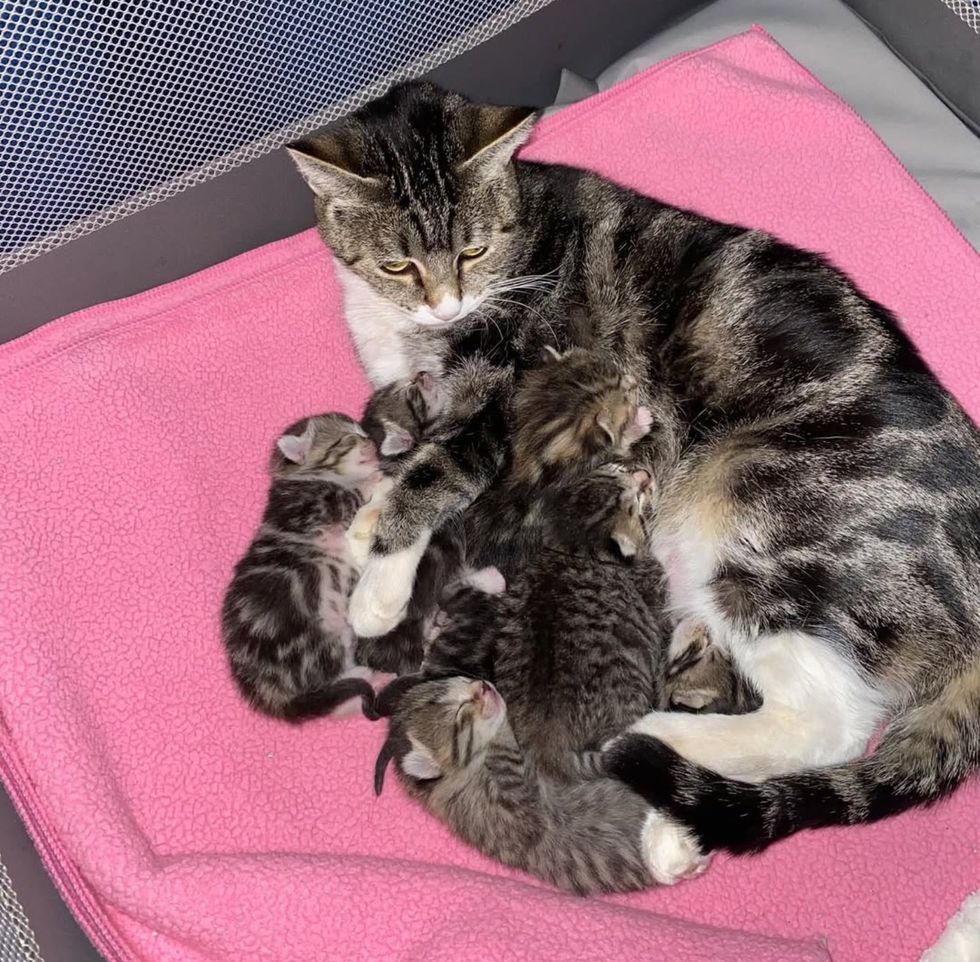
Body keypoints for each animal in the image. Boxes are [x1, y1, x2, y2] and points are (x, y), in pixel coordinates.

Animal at [223, 410, 382, 720]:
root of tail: (268, 692)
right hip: (314, 641)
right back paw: (367, 673)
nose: (372, 443)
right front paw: (374, 478)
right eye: (349, 438)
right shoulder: (316, 509)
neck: (306, 478)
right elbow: (350, 497)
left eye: (363, 432)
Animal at [290, 80, 980, 864]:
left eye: (473, 249)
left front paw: (377, 577)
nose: (446, 302)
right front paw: (373, 517)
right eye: (398, 265)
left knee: (829, 721)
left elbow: (441, 471)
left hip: (764, 522)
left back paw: (650, 742)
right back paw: (673, 831)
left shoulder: (510, 396)